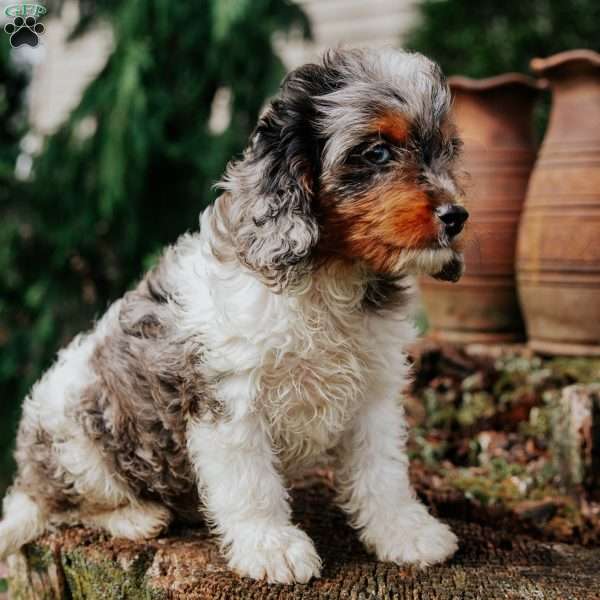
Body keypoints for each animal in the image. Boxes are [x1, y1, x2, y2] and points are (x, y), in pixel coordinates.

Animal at [1, 49, 468, 584]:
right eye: (376, 153)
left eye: (446, 149)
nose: (456, 217)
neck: (329, 275)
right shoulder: (228, 398)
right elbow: (251, 482)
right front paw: (273, 548)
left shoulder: (374, 394)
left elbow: (383, 471)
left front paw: (405, 534)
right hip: (79, 439)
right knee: (65, 506)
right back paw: (138, 516)